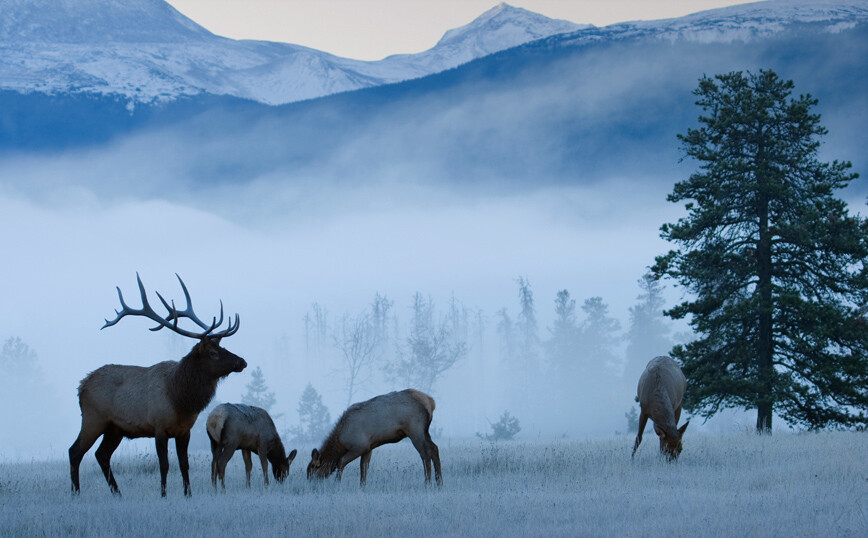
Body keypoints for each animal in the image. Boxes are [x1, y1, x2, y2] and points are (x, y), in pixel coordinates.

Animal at [68, 274, 248, 496]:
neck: (180, 399)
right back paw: (76, 493)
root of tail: (81, 386)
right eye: (213, 353)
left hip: (114, 428)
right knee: (75, 451)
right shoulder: (159, 427)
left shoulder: (184, 431)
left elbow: (184, 464)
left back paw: (118, 494)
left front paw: (188, 494)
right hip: (93, 418)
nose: (242, 362)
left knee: (101, 455)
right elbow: (164, 465)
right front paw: (163, 494)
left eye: (223, 347)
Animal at [306, 388, 440, 484]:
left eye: (313, 467)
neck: (341, 441)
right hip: (424, 431)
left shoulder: (360, 445)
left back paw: (428, 483)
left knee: (425, 453)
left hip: (415, 430)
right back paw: (439, 483)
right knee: (434, 448)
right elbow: (364, 469)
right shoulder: (368, 448)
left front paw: (337, 484)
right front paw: (362, 487)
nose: (309, 481)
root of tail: (431, 402)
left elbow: (341, 461)